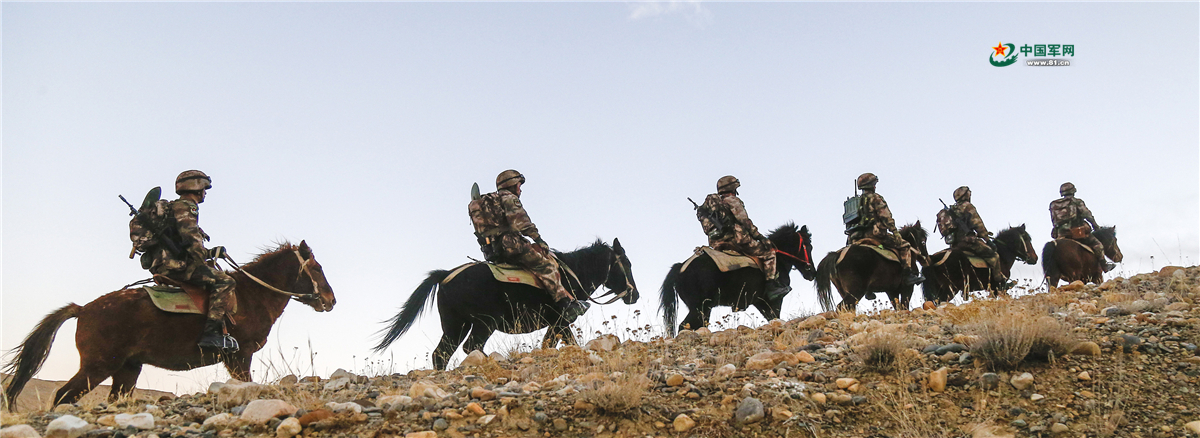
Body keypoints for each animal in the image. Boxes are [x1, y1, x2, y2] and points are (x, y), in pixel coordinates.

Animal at [2, 241, 336, 410]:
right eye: (318, 267)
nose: (331, 300)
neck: (250, 294)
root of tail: (83, 309)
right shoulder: (239, 356)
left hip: (126, 369)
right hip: (96, 368)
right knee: (63, 397)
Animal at [374, 239, 638, 371]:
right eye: (626, 263)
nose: (634, 295)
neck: (571, 272)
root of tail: (446, 275)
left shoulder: (555, 324)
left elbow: (549, 345)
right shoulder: (561, 320)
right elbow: (570, 342)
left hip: (455, 325)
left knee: (442, 354)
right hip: (484, 323)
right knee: (471, 347)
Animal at [659, 223, 816, 337]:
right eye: (808, 246)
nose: (812, 273)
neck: (779, 260)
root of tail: (680, 267)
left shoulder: (761, 303)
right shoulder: (774, 301)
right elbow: (776, 318)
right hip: (700, 308)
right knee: (683, 327)